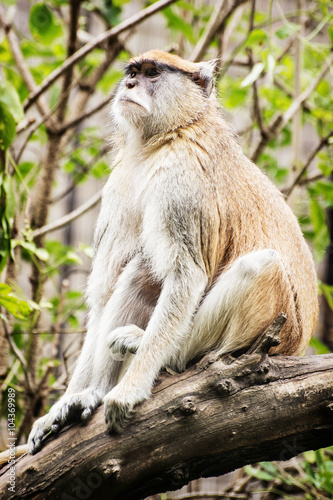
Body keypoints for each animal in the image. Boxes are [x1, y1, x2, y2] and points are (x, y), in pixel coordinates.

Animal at [27, 50, 318, 454]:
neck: (167, 135)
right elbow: (105, 293)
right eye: (133, 72)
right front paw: (71, 402)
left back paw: (165, 353)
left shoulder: (180, 181)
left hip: (274, 327)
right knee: (142, 269)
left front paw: (129, 391)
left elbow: (187, 276)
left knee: (263, 266)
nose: (130, 84)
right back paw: (95, 390)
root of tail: (297, 348)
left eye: (152, 73)